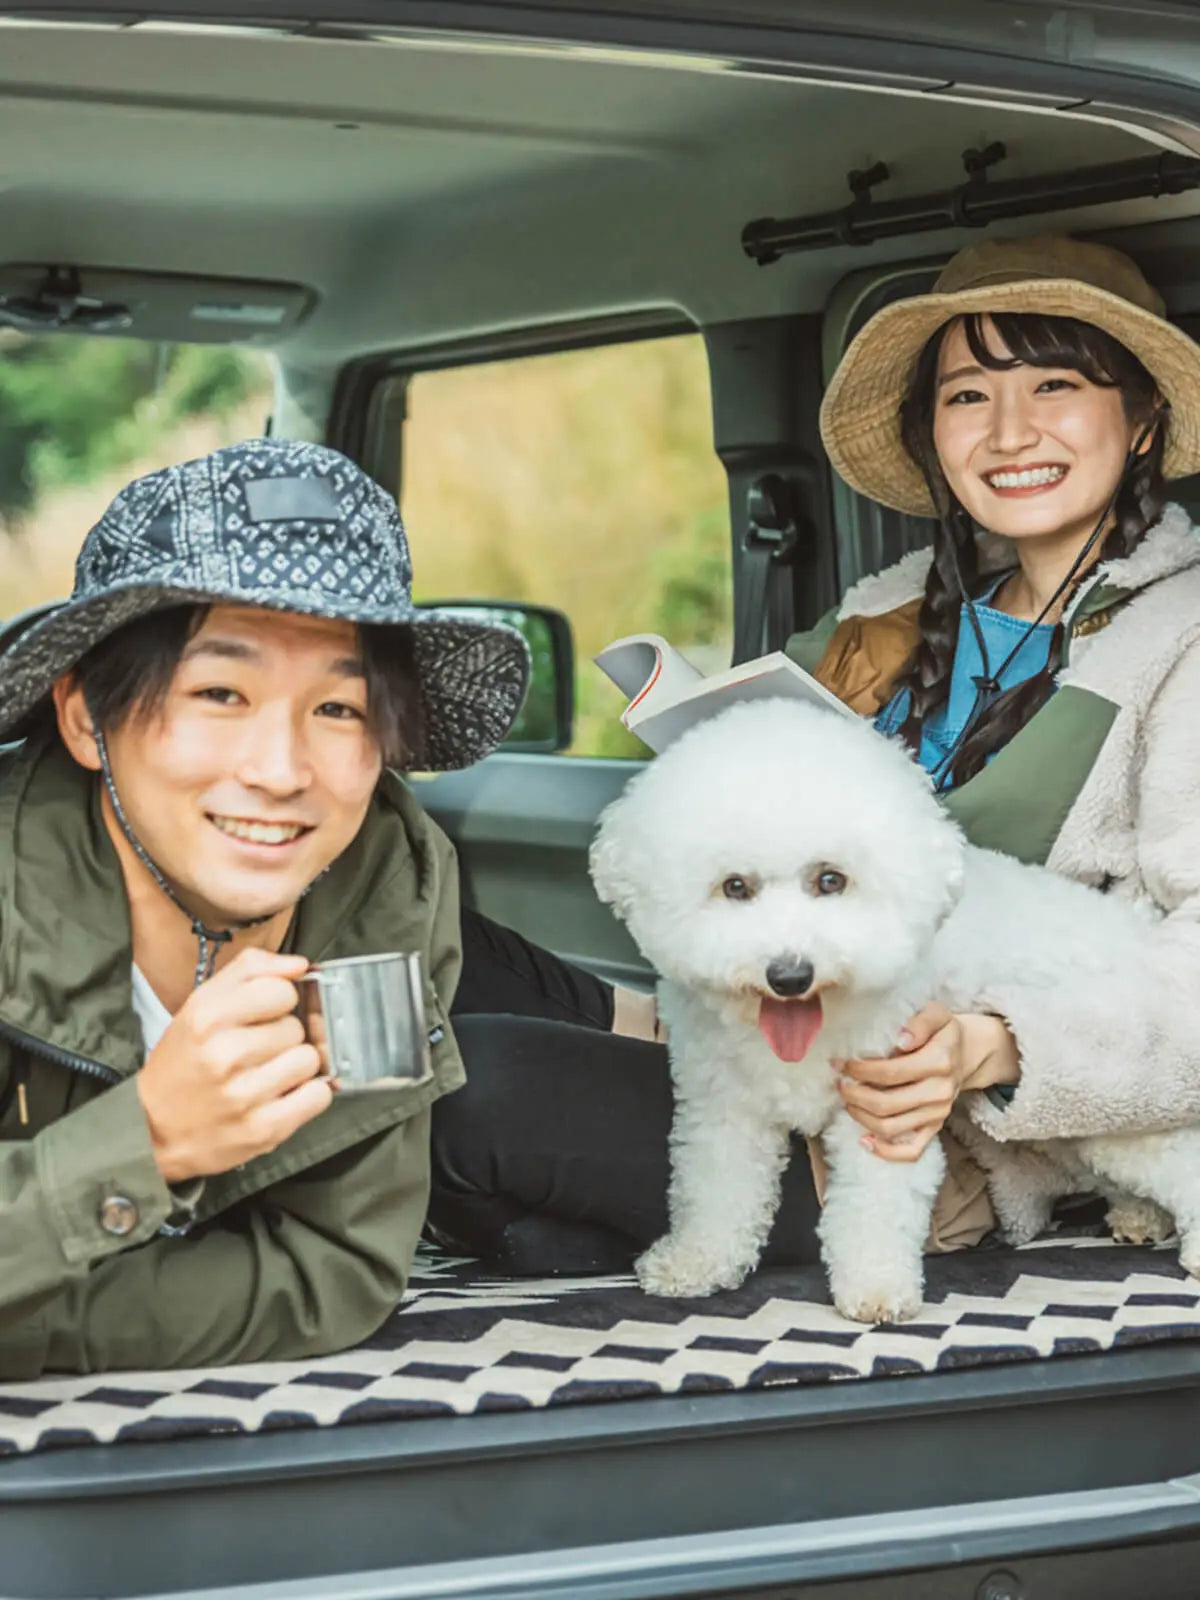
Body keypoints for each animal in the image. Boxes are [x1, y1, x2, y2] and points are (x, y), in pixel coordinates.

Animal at [595, 700, 1200, 1324]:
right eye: (734, 886)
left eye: (831, 879)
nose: (789, 976)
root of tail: (1136, 931)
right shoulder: (724, 1108)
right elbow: (715, 1190)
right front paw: (693, 1263)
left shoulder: (888, 1109)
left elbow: (875, 1206)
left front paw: (876, 1289)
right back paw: (1140, 1216)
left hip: (1112, 1095)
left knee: (1176, 1157)